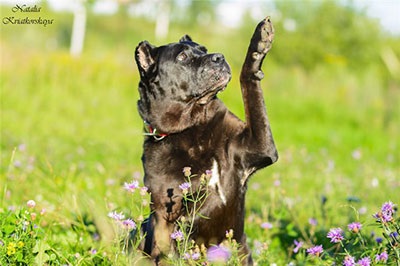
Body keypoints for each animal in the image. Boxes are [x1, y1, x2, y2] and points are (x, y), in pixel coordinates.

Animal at [134, 17, 278, 264]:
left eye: (204, 49)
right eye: (182, 57)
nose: (218, 57)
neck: (192, 126)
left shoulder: (259, 146)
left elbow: (250, 88)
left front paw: (260, 41)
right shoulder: (164, 210)